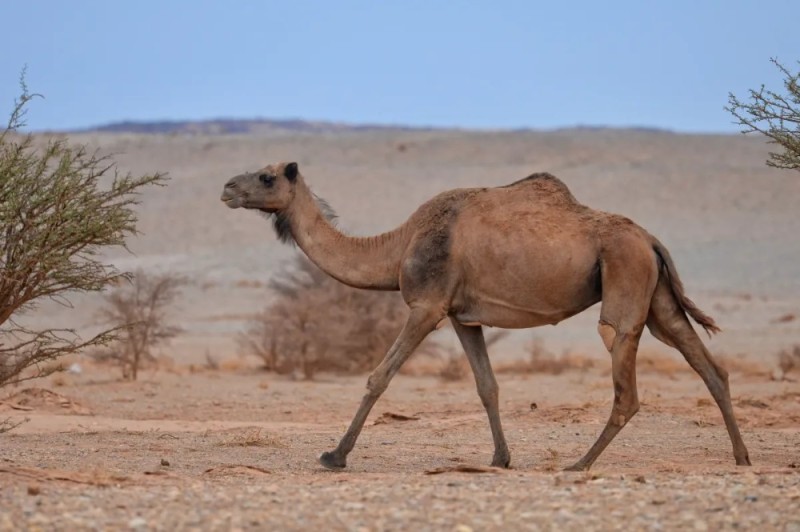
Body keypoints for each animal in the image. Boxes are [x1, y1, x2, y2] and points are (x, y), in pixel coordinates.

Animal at [219, 162, 752, 470]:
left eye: (266, 177)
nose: (226, 188)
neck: (397, 247)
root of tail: (651, 239)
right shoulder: (463, 316)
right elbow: (487, 386)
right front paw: (500, 458)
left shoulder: (427, 305)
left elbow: (378, 376)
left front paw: (334, 455)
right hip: (657, 296)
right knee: (708, 364)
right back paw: (742, 457)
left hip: (625, 279)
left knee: (626, 381)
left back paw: (579, 463)